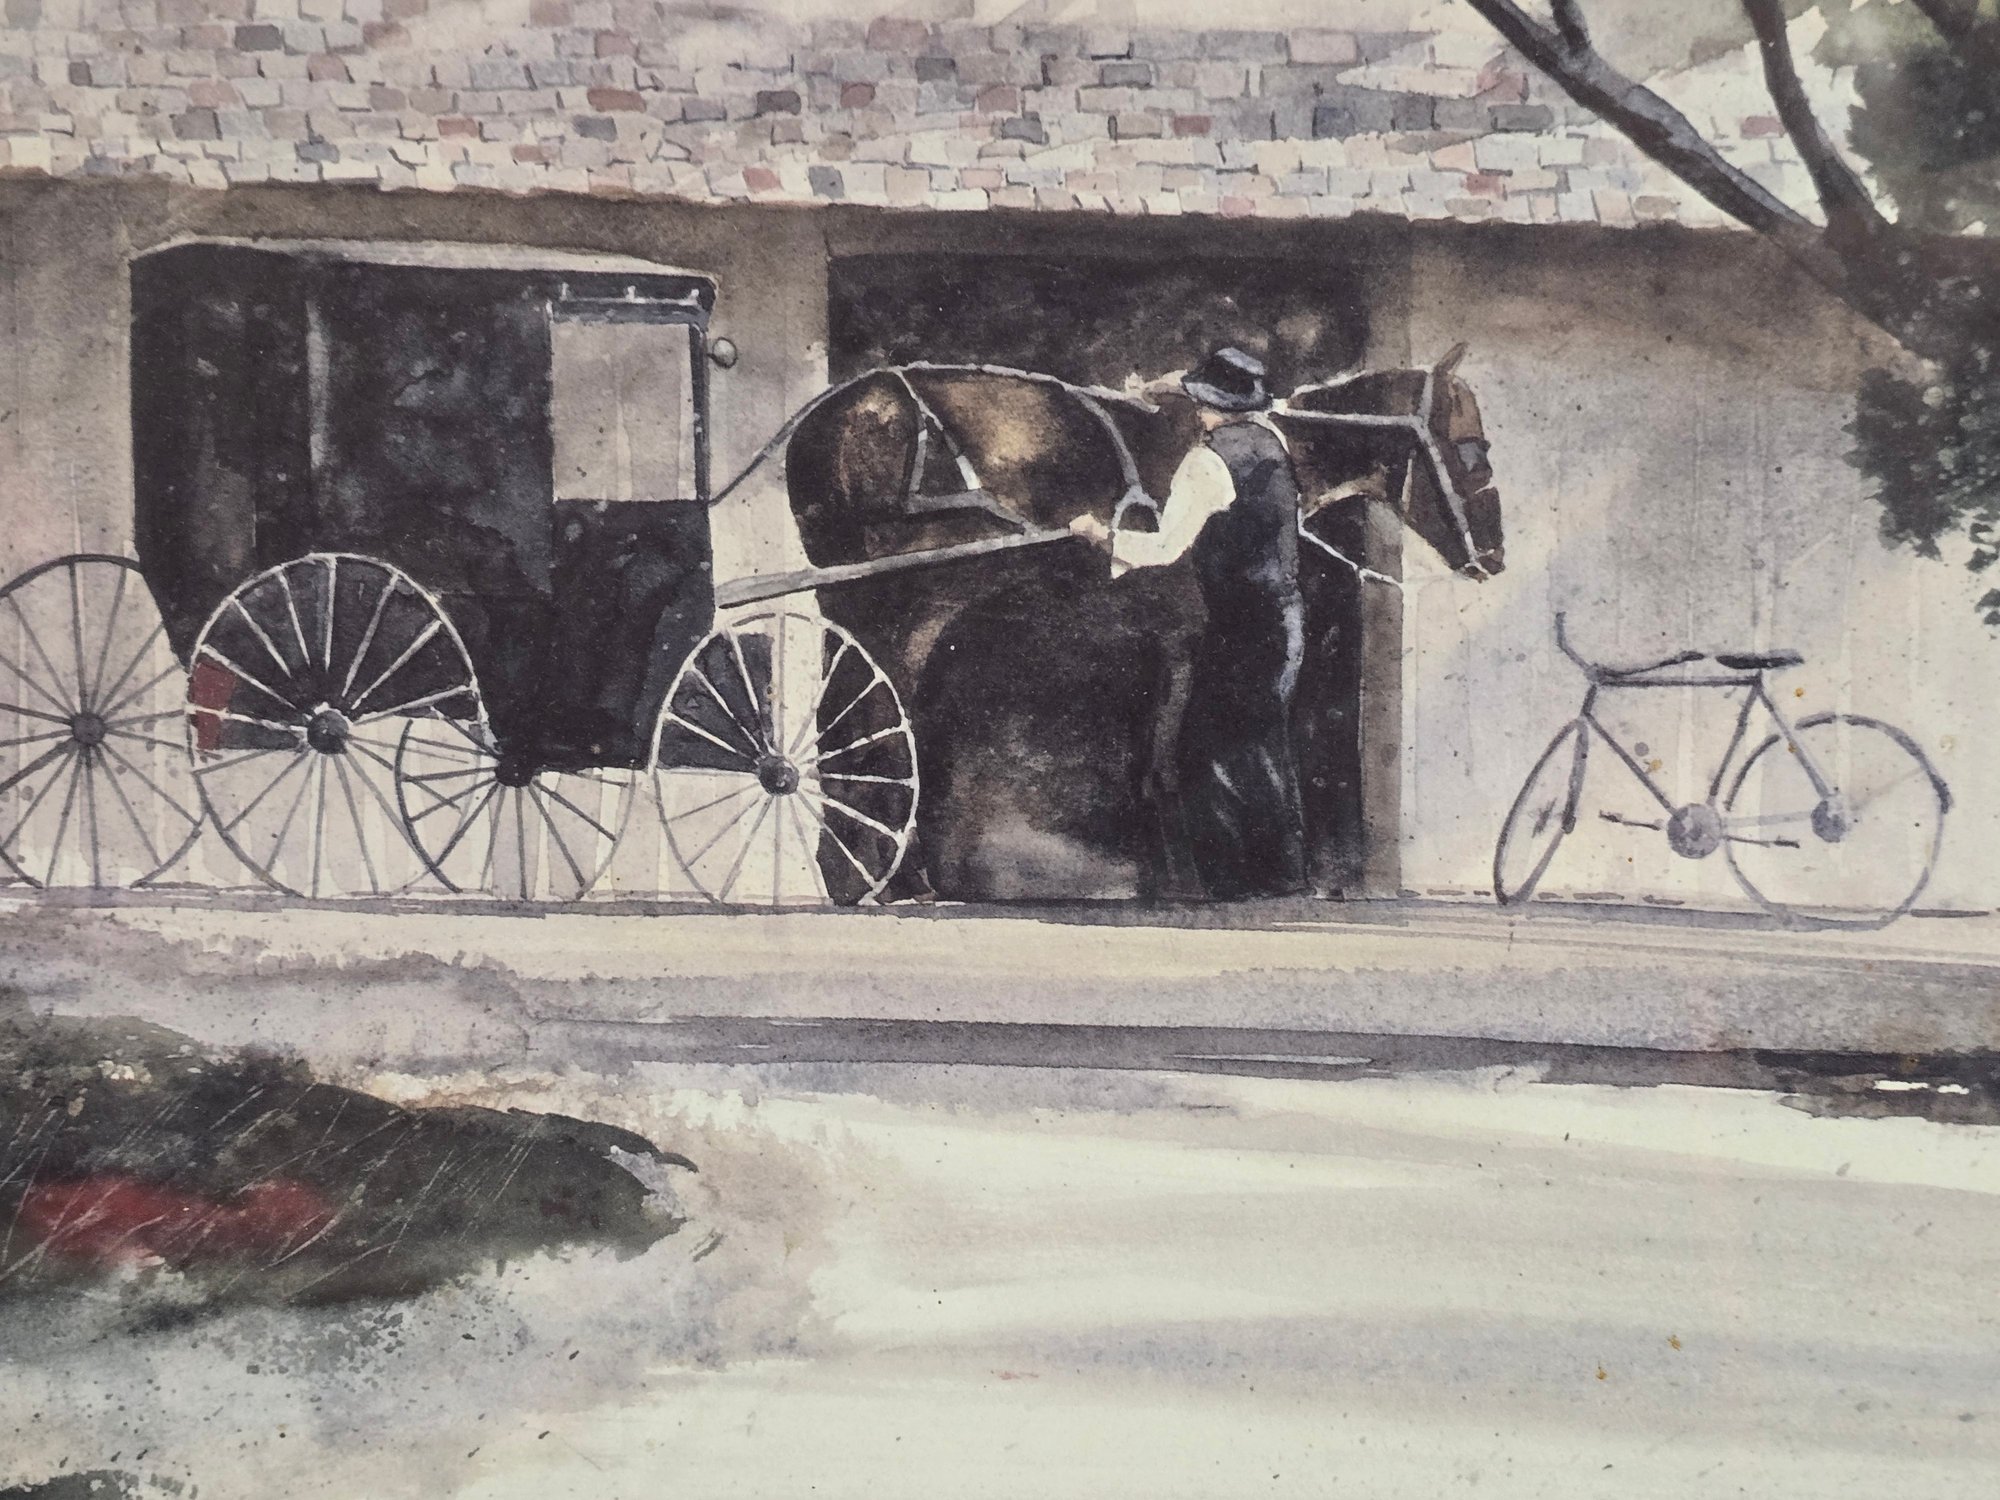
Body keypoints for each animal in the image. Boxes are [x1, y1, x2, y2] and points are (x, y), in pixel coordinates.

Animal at [772, 350, 1505, 902]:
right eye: (1473, 450)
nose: (1494, 558)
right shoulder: (1179, 642)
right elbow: (1164, 766)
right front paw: (1184, 879)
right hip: (894, 619)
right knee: (870, 730)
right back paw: (884, 878)